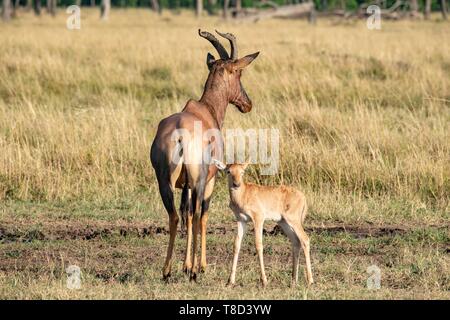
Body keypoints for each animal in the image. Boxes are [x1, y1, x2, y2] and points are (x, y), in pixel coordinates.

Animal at [149, 29, 258, 280]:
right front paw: (199, 266)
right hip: (199, 181)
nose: (247, 104)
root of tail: (180, 134)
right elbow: (202, 216)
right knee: (198, 214)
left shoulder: (185, 186)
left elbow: (187, 216)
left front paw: (186, 265)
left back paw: (167, 271)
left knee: (175, 216)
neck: (204, 109)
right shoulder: (211, 180)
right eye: (238, 72)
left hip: (164, 183)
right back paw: (193, 272)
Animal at [212, 160, 312, 288]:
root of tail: (302, 197)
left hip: (293, 220)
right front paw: (230, 281)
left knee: (305, 239)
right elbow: (236, 245)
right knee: (296, 242)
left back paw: (310, 281)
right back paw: (294, 281)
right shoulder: (241, 220)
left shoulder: (258, 219)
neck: (244, 193)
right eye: (228, 171)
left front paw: (264, 280)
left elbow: (258, 245)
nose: (236, 184)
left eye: (242, 171)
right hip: (284, 222)